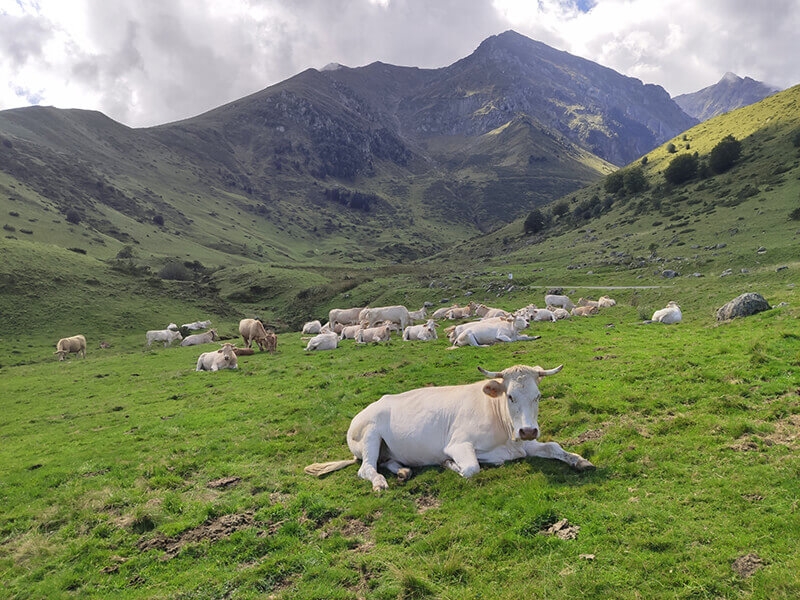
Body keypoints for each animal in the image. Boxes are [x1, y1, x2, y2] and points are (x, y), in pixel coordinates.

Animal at [306, 364, 592, 490]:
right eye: (510, 396)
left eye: (538, 396)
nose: (529, 430)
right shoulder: (458, 443)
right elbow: (471, 468)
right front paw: (449, 464)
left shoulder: (524, 442)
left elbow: (554, 446)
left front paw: (580, 460)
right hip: (370, 435)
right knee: (366, 468)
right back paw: (379, 482)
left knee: (386, 461)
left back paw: (403, 471)